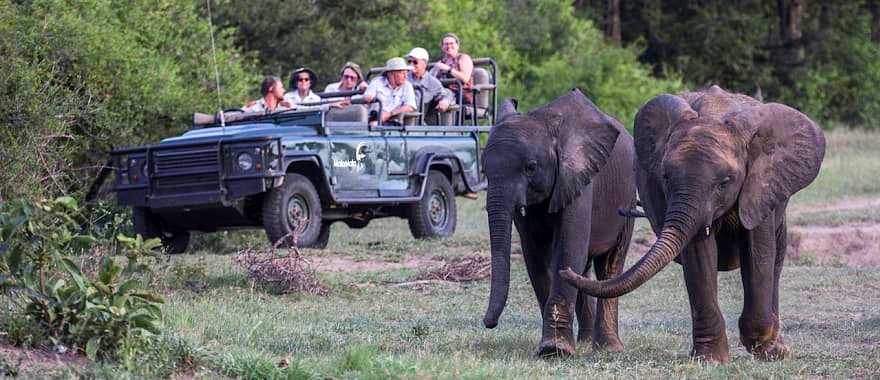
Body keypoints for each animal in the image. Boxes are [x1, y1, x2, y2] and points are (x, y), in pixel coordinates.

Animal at [482, 89, 640, 356]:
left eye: (530, 168)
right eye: (483, 172)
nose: (489, 323)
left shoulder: (579, 178)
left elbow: (568, 248)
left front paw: (554, 350)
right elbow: (535, 254)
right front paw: (553, 347)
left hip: (627, 198)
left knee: (610, 264)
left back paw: (607, 348)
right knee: (584, 269)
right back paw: (585, 342)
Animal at [560, 85, 828, 362]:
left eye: (725, 182)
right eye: (665, 176)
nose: (565, 270)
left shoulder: (760, 187)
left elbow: (758, 253)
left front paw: (765, 349)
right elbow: (699, 255)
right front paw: (711, 359)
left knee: (777, 257)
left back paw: (778, 349)